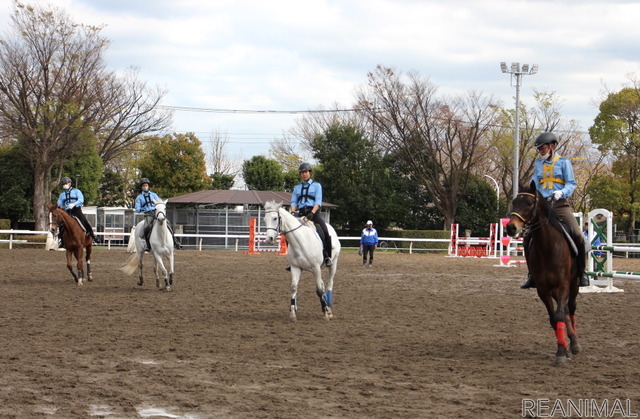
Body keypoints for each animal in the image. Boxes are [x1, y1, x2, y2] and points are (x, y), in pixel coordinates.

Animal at [508, 182, 584, 366]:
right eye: (514, 202)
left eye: (529, 203)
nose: (510, 227)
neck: (548, 246)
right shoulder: (542, 289)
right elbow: (553, 318)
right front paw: (562, 350)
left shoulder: (563, 285)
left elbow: (559, 315)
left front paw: (562, 352)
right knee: (564, 311)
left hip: (573, 286)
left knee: (570, 308)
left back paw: (575, 343)